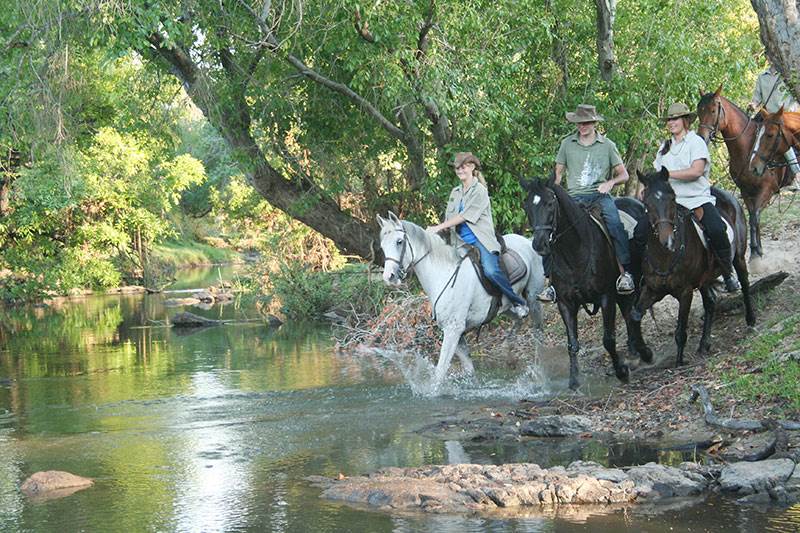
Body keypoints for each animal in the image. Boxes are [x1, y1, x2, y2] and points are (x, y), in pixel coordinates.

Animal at [378, 212, 548, 390]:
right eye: (382, 246)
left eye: (399, 242)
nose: (389, 277)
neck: (443, 274)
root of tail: (527, 241)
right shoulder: (456, 334)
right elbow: (468, 370)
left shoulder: (453, 330)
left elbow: (440, 373)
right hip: (506, 307)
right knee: (519, 320)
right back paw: (509, 355)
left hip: (533, 299)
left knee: (538, 334)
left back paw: (538, 373)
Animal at [520, 177, 652, 388]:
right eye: (527, 206)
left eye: (550, 204)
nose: (539, 244)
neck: (574, 252)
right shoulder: (565, 303)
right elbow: (572, 343)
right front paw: (574, 380)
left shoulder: (606, 296)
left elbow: (608, 339)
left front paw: (621, 372)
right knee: (629, 315)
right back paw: (635, 353)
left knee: (632, 315)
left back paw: (643, 353)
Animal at [632, 168, 756, 368]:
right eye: (646, 202)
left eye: (672, 198)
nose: (667, 241)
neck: (665, 255)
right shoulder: (653, 290)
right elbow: (635, 316)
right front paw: (645, 353)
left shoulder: (685, 292)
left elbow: (680, 332)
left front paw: (679, 363)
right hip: (704, 278)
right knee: (711, 301)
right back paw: (704, 344)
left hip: (738, 256)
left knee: (744, 282)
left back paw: (750, 319)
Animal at [692, 87, 792, 258]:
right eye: (699, 110)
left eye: (713, 110)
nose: (702, 137)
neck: (749, 148)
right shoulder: (746, 190)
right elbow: (752, 216)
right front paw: (757, 250)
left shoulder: (767, 189)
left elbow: (755, 217)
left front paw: (756, 253)